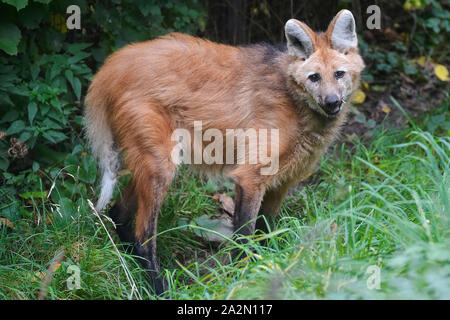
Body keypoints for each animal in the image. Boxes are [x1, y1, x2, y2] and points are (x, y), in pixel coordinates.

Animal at [85, 9, 366, 296]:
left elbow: (265, 231)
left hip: (152, 163)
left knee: (118, 213)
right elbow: (244, 236)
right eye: (314, 77)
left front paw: (266, 270)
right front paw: (242, 281)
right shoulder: (250, 176)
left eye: (339, 74)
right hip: (161, 166)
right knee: (144, 237)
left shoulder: (281, 181)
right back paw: (161, 289)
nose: (332, 102)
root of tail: (110, 66)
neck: (296, 102)